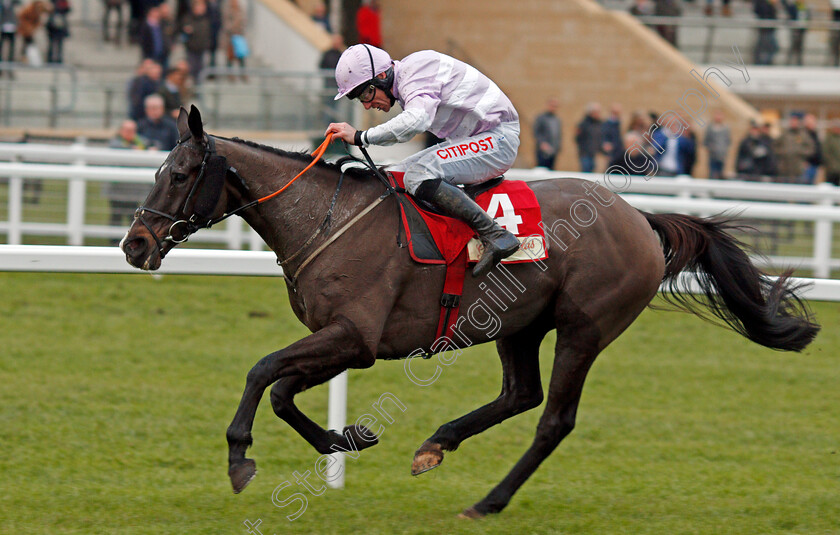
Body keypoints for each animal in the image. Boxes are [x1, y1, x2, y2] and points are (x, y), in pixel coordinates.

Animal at [121, 108, 816, 520]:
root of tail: (639, 218)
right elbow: (284, 392)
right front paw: (348, 438)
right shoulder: (339, 338)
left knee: (554, 419)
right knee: (520, 394)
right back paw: (436, 444)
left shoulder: (355, 337)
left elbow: (263, 372)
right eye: (157, 168)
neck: (326, 217)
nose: (135, 245)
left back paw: (489, 501)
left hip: (585, 328)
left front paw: (240, 459)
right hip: (519, 324)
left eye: (180, 173)